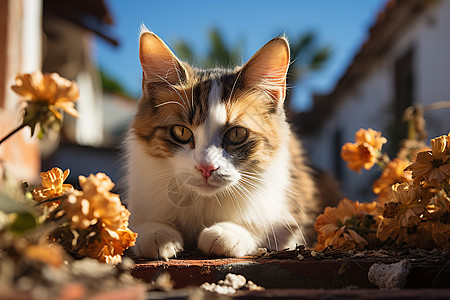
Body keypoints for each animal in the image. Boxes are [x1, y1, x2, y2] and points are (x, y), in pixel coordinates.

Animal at [125, 28, 334, 258]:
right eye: (181, 132)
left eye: (236, 134)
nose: (206, 168)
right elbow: (140, 226)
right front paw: (158, 234)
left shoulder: (289, 216)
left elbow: (264, 228)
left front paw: (227, 232)